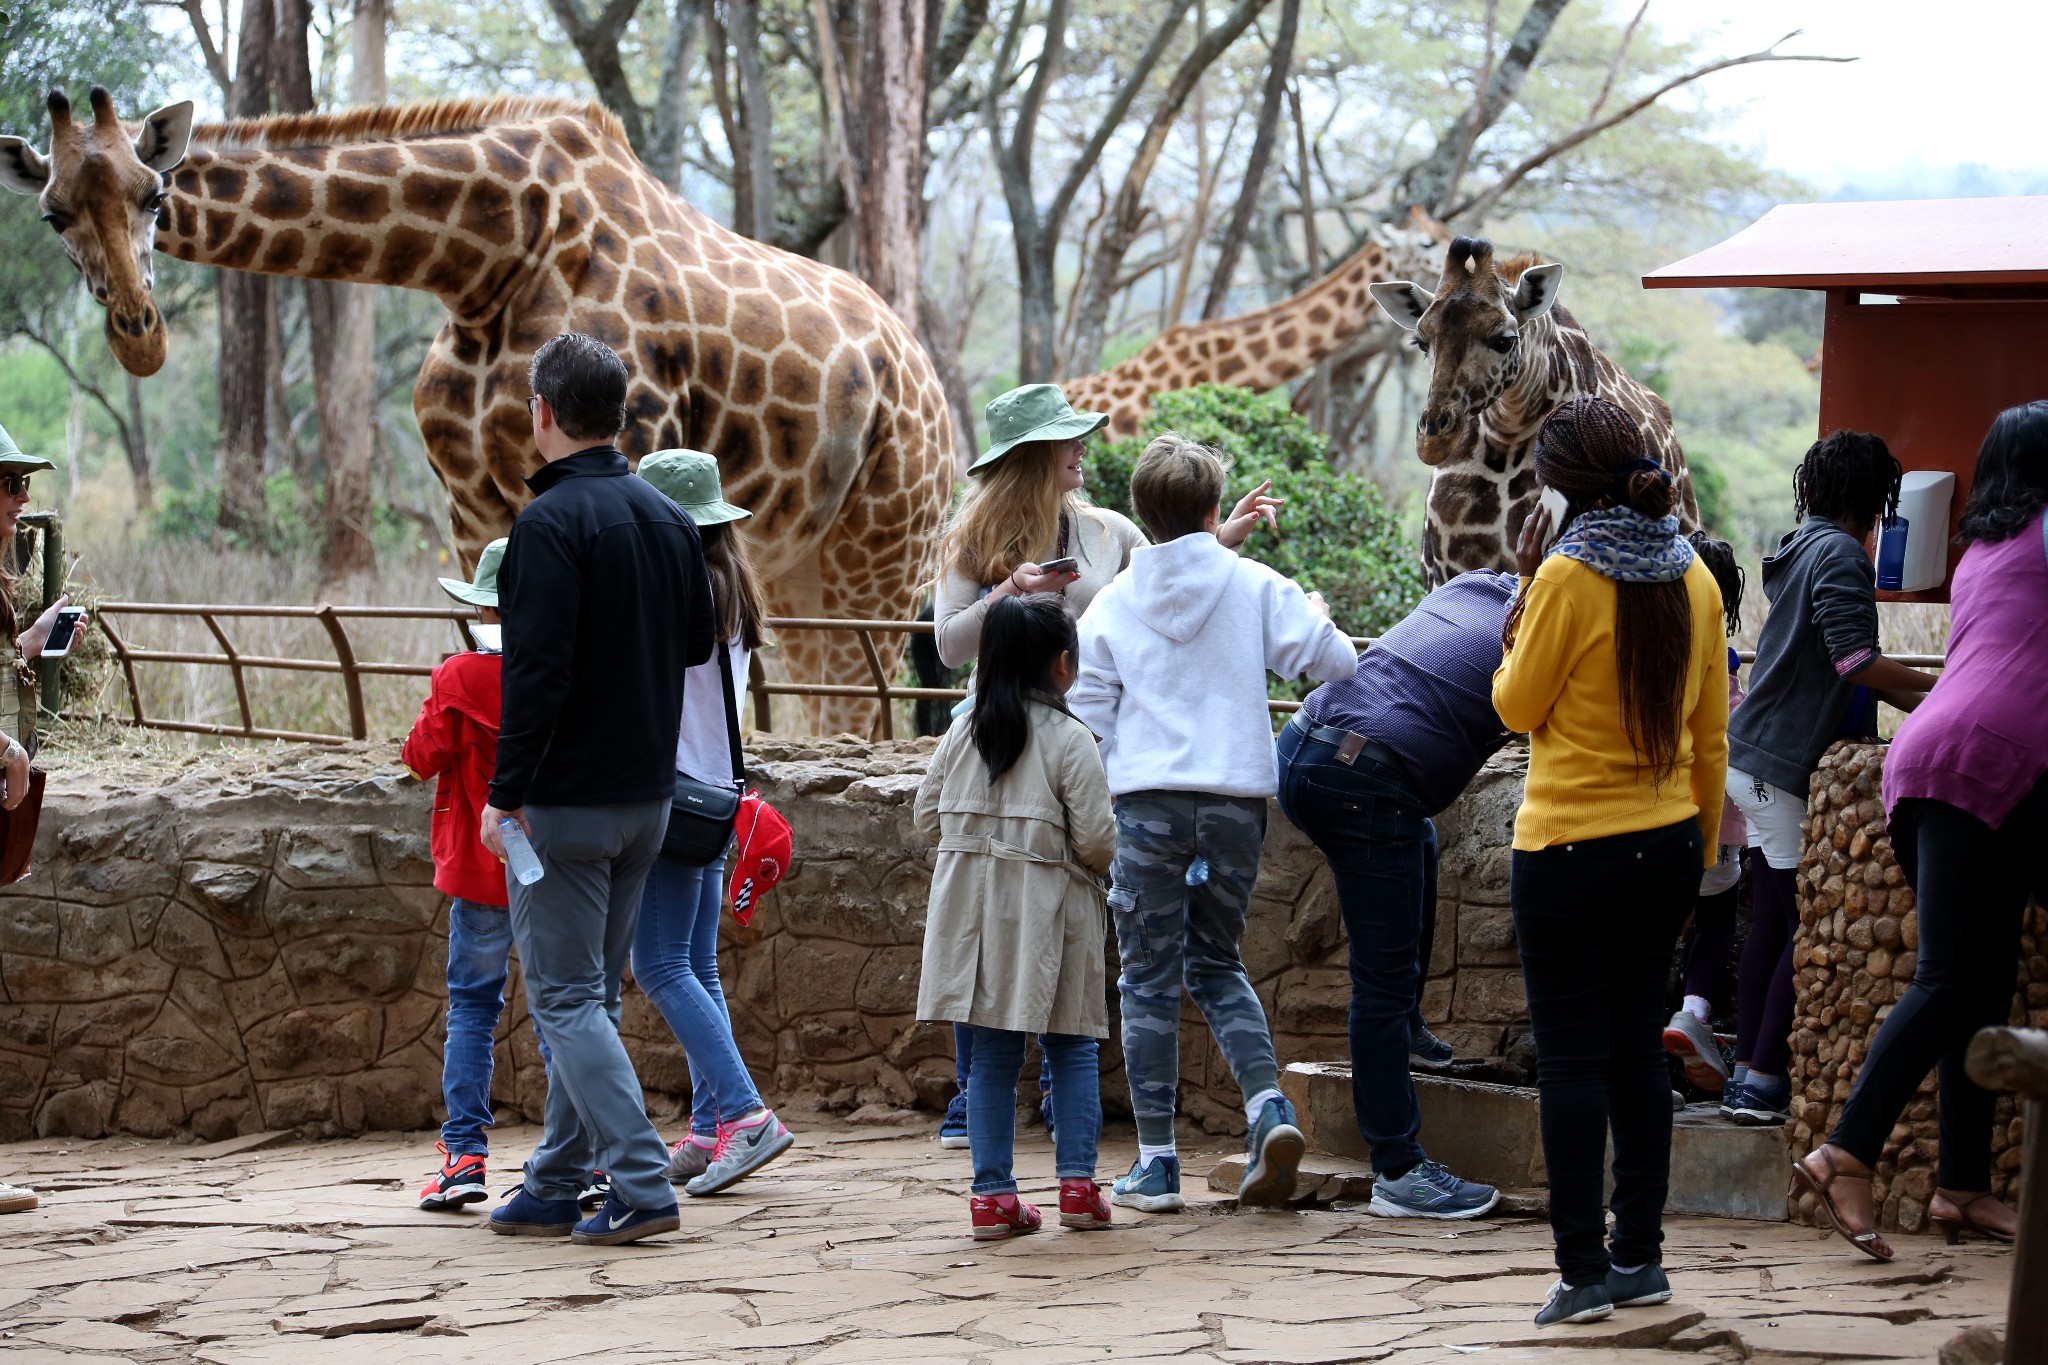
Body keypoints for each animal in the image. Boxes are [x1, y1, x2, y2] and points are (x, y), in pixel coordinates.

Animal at [0, 87, 950, 736]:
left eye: (154, 195)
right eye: (52, 214)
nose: (140, 336)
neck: (483, 259)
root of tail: (927, 379)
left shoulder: (637, 452)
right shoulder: (470, 504)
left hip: (882, 556)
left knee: (867, 708)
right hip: (801, 566)